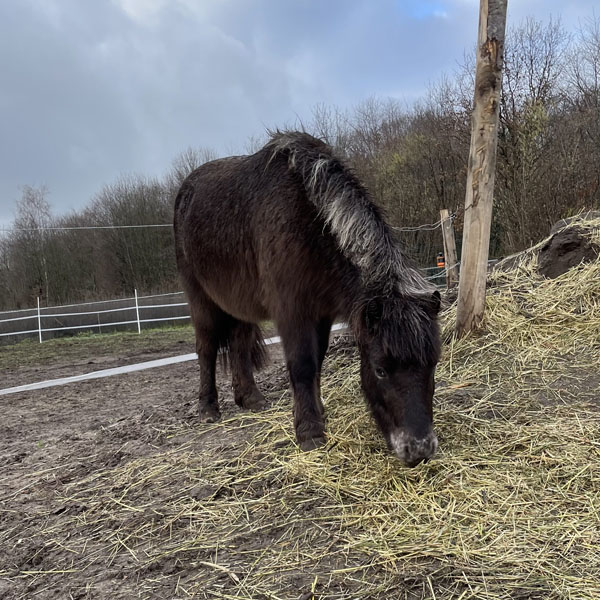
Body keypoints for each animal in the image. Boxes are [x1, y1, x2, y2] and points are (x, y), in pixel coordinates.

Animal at [173, 132, 440, 468]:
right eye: (380, 369)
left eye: (433, 363)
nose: (419, 450)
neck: (309, 222)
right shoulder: (292, 312)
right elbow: (302, 364)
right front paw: (310, 431)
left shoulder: (321, 313)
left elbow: (318, 361)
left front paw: (318, 412)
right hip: (202, 301)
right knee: (207, 349)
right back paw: (208, 408)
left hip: (239, 306)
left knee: (238, 344)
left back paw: (250, 398)